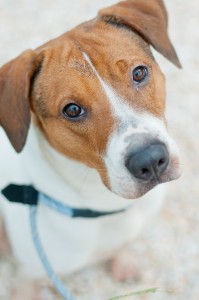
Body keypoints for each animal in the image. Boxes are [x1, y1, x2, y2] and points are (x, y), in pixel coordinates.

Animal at [0, 0, 182, 298]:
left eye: (139, 72)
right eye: (72, 110)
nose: (150, 160)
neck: (105, 206)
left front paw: (123, 261)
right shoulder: (28, 274)